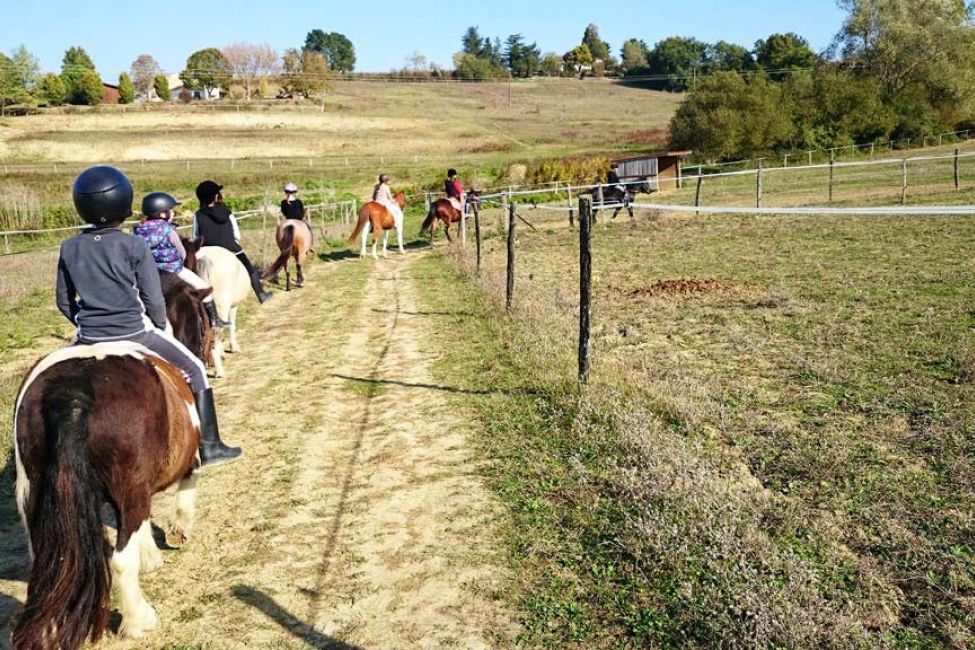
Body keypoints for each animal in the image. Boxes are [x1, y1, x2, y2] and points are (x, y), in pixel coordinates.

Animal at [11, 342, 200, 644]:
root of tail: (71, 392)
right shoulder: (185, 464)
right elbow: (186, 491)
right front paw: (177, 533)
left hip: (32, 494)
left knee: (50, 568)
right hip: (130, 489)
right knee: (120, 561)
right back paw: (138, 621)